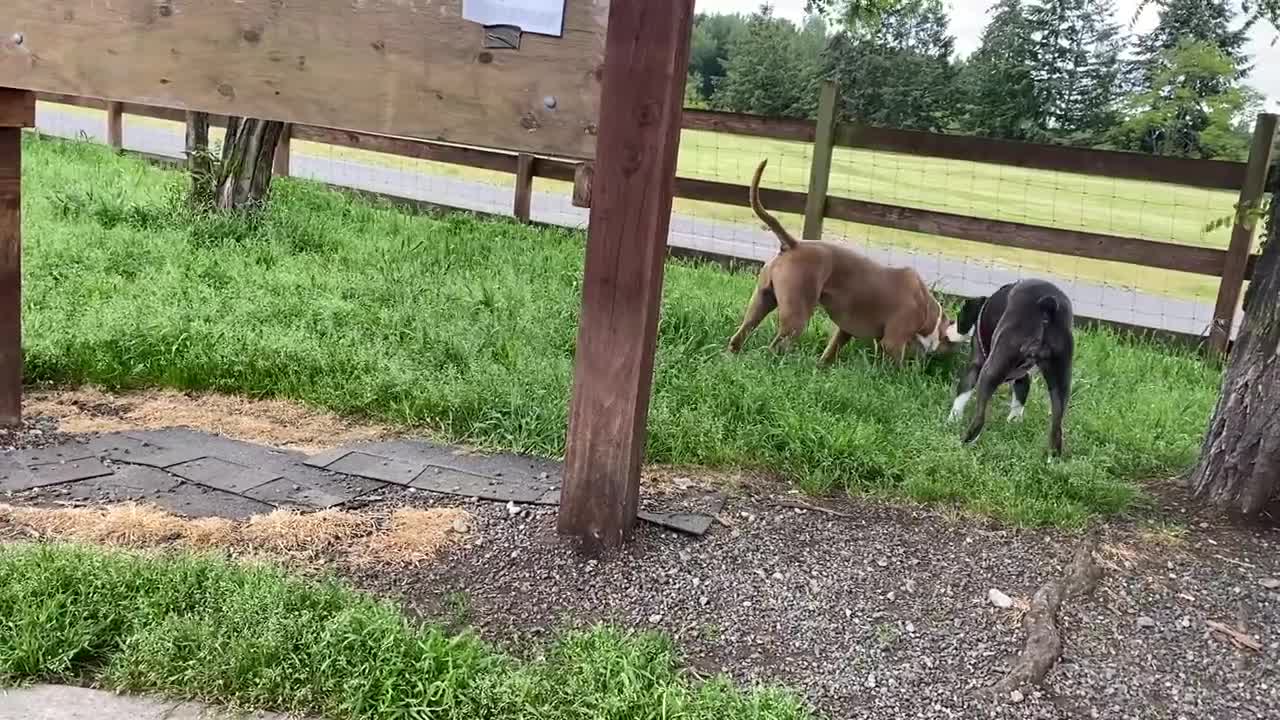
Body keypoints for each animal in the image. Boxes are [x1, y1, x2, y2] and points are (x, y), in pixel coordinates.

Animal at [732, 160, 962, 366]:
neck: (928, 312)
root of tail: (794, 244)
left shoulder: (845, 330)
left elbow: (832, 350)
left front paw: (822, 368)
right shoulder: (893, 342)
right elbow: (898, 367)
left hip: (761, 301)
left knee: (740, 334)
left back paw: (732, 356)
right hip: (795, 316)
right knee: (775, 347)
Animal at [947, 279, 1075, 453]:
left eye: (959, 317)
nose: (951, 327)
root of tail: (1047, 308)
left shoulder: (975, 366)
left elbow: (962, 394)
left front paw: (952, 419)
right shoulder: (1023, 377)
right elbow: (1019, 399)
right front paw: (1013, 423)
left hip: (990, 371)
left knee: (980, 417)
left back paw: (964, 442)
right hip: (1060, 382)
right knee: (1057, 428)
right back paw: (1052, 456)